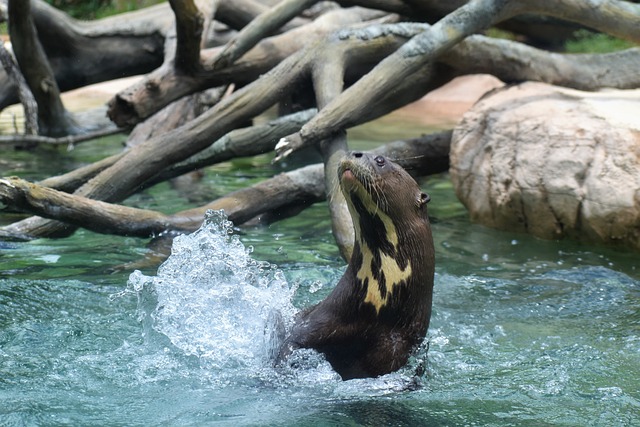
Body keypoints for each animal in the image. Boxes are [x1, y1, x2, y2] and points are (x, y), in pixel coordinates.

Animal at [278, 151, 436, 382]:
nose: (355, 152)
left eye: (380, 160)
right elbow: (291, 342)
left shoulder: (397, 345)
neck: (377, 304)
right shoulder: (321, 319)